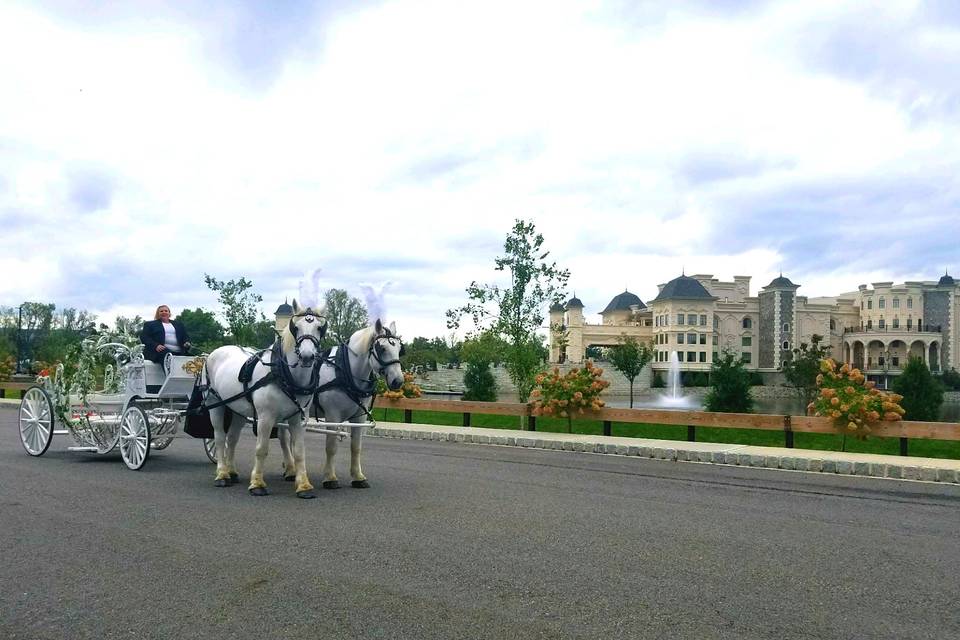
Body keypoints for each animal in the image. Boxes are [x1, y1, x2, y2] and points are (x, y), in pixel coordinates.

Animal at [203, 302, 326, 498]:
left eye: (319, 327)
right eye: (296, 327)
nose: (307, 356)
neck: (284, 374)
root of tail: (213, 353)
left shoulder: (298, 418)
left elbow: (299, 451)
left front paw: (304, 486)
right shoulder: (265, 417)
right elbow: (261, 449)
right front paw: (257, 484)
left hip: (238, 410)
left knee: (232, 438)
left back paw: (232, 471)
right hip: (214, 404)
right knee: (220, 437)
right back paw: (222, 474)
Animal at [282, 320, 408, 490]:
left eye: (400, 349)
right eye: (381, 348)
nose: (398, 381)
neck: (347, 371)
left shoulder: (360, 417)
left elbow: (356, 447)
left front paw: (358, 477)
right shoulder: (332, 416)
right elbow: (331, 447)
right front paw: (330, 478)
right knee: (283, 437)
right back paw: (290, 470)